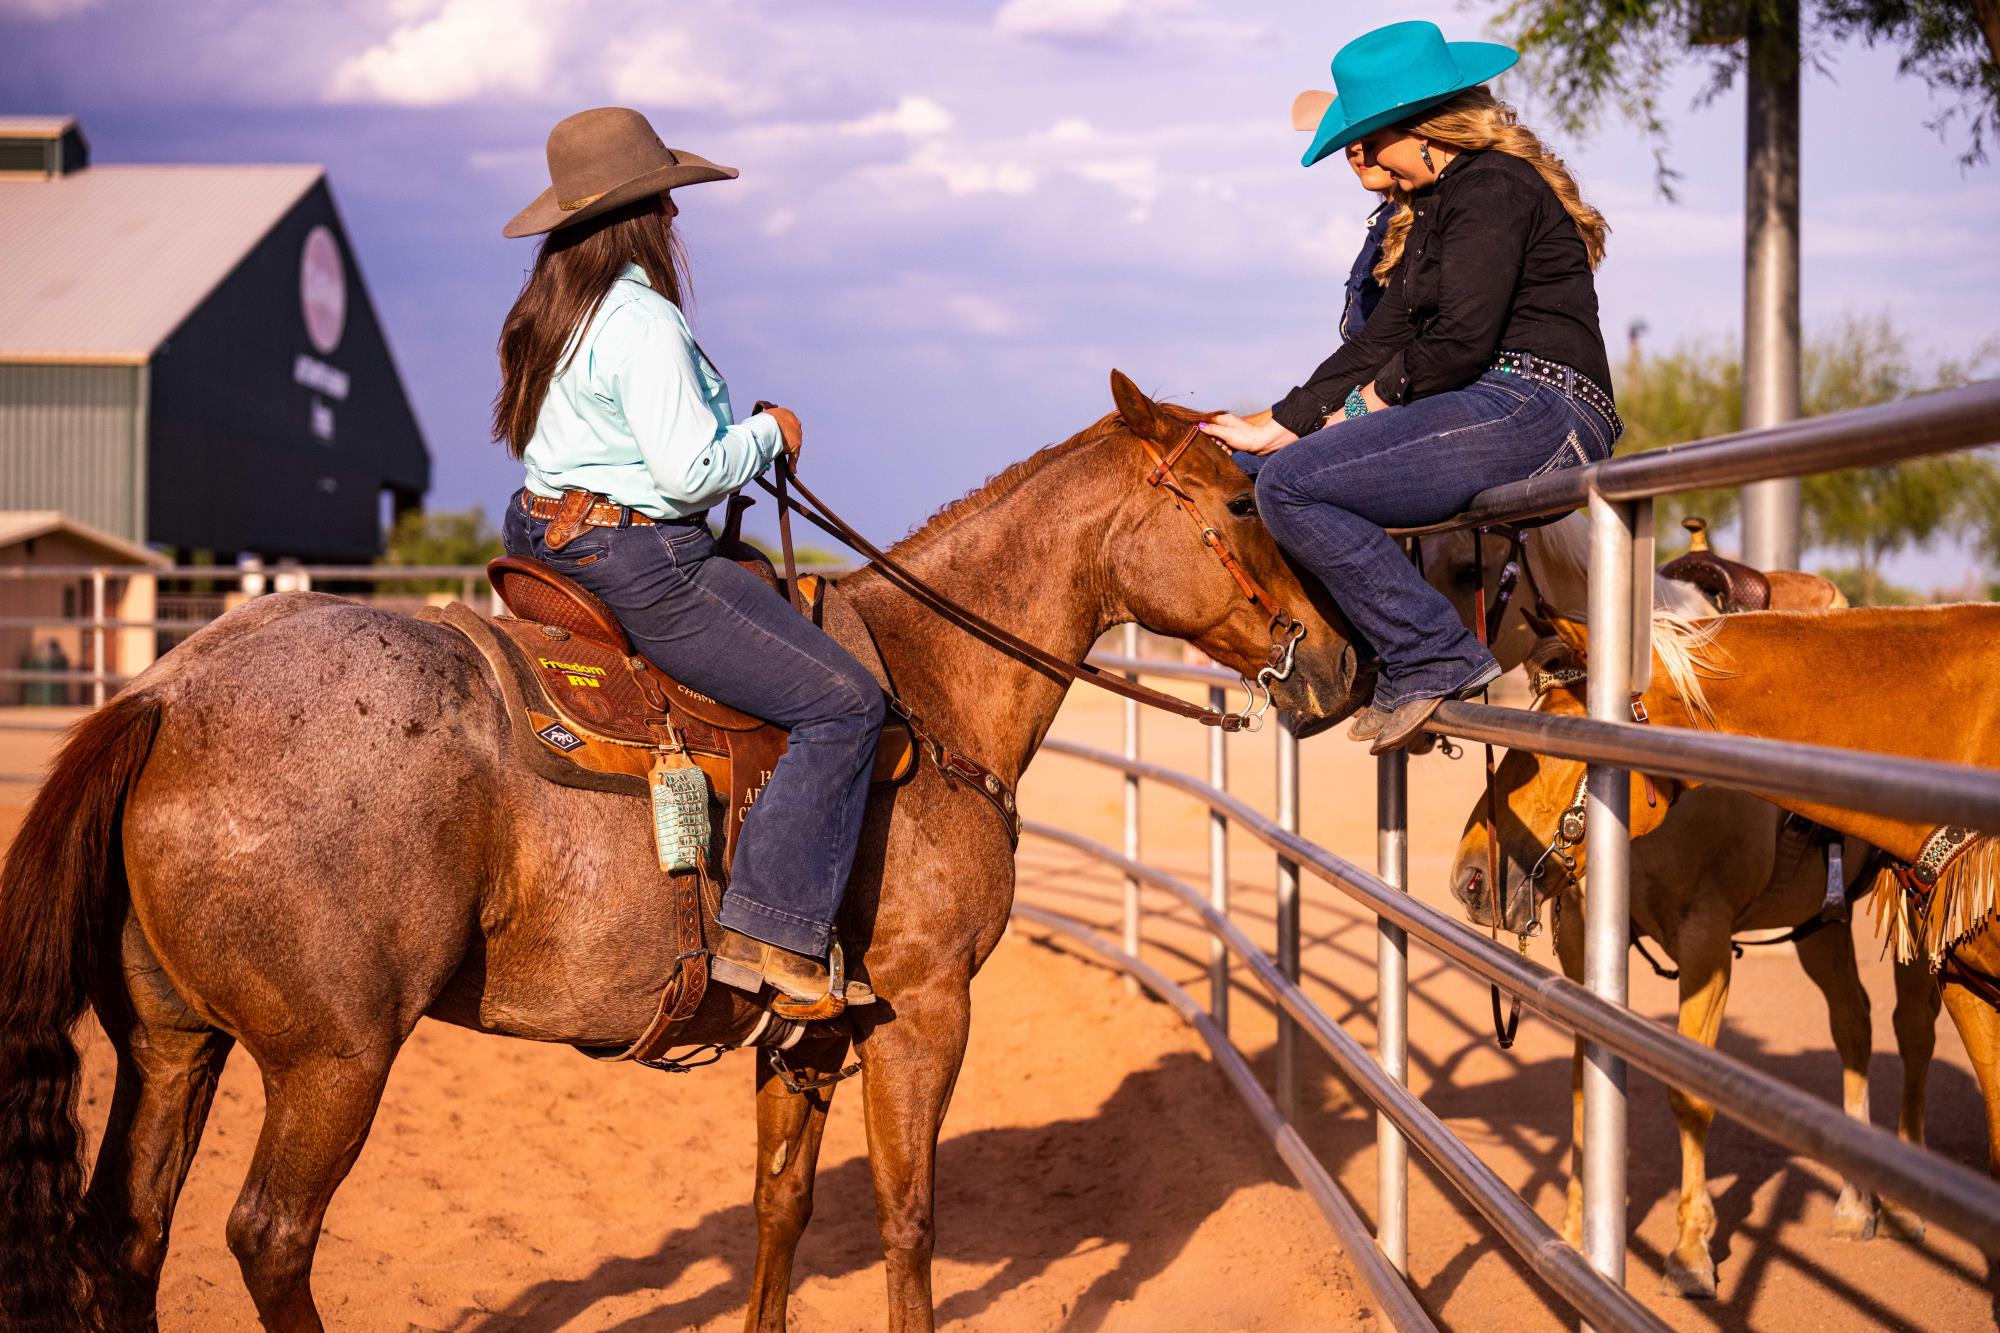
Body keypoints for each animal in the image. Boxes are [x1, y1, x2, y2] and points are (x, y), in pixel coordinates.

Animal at [0, 374, 1368, 1328]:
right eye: (1237, 502)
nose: (1341, 661)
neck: (925, 690)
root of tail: (166, 694)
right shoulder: (924, 1008)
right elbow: (908, 1218)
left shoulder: (808, 1027)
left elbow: (783, 1205)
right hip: (330, 1058)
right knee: (270, 1238)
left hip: (172, 1041)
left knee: (129, 1235)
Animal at [1424, 516, 1936, 1288]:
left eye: (1464, 570)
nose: (1471, 879)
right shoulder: (1582, 939)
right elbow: (1584, 1086)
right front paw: (1574, 1230)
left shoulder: (1705, 942)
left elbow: (1689, 1093)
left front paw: (1692, 1245)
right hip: (1820, 921)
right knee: (1854, 1021)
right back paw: (1855, 1199)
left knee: (1913, 1027)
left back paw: (1903, 1201)